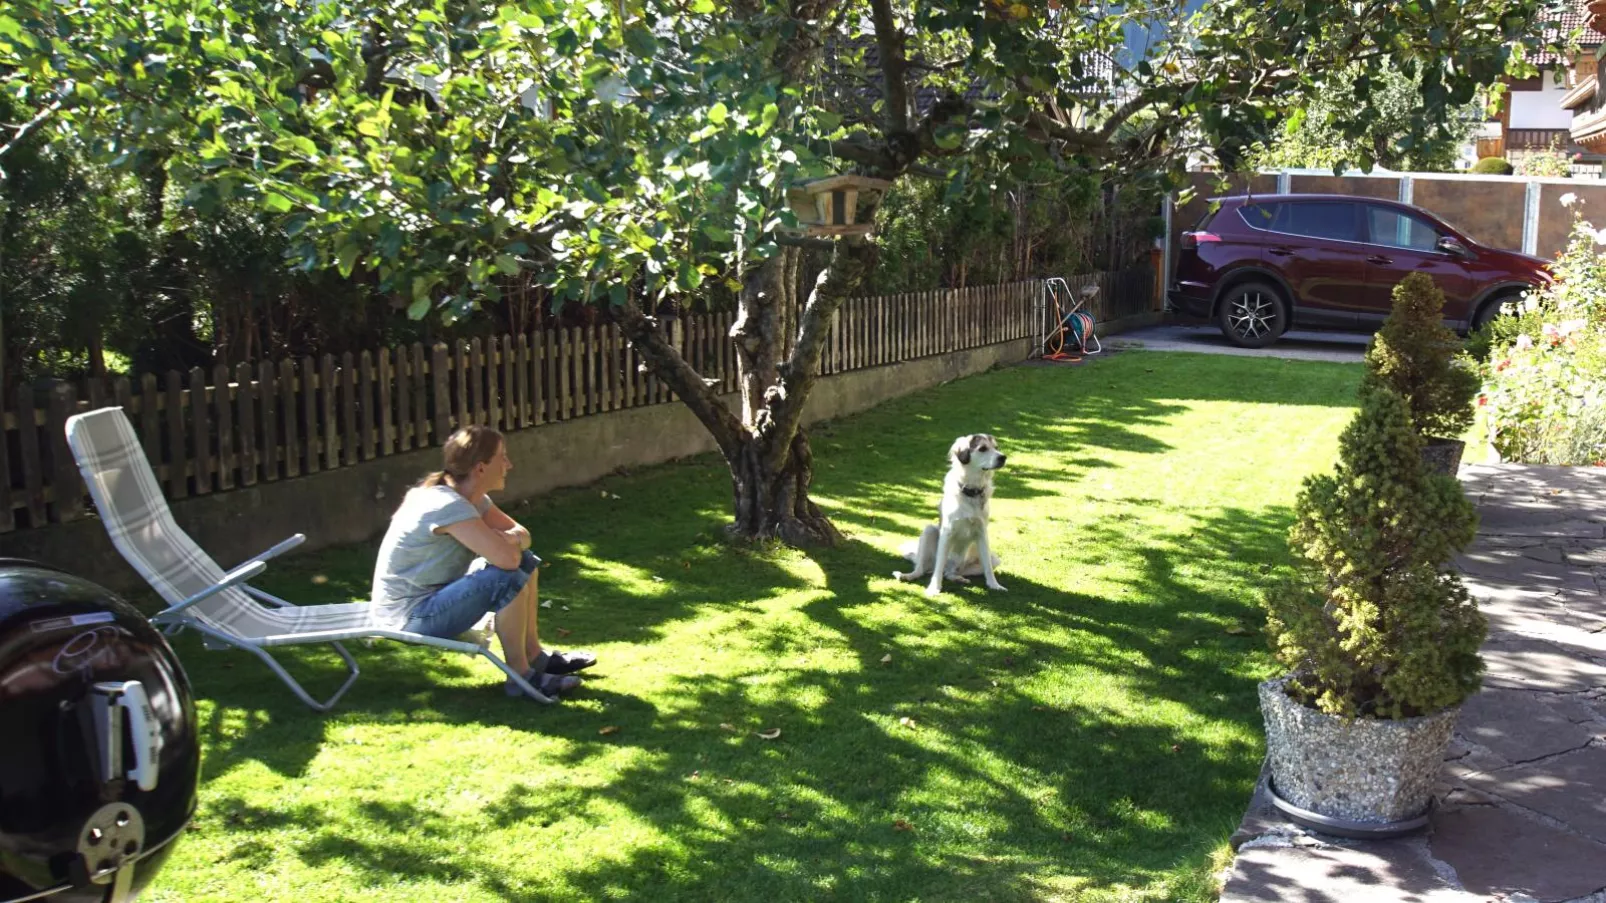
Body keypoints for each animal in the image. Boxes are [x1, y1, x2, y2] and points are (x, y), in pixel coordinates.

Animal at [892, 433, 1002, 594]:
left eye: (996, 448)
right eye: (982, 448)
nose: (1003, 457)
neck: (971, 491)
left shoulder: (982, 533)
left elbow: (987, 566)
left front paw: (994, 585)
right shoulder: (946, 531)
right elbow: (938, 567)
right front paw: (934, 588)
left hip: (992, 559)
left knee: (949, 573)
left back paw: (958, 578)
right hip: (929, 531)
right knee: (923, 570)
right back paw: (907, 576)